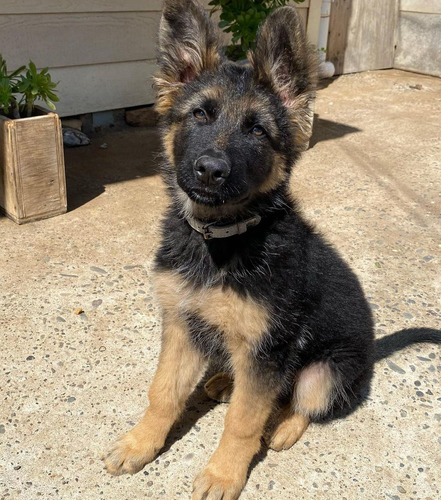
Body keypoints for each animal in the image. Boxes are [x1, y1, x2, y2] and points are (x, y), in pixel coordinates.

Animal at [104, 1, 374, 498]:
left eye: (257, 131)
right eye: (199, 115)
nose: (210, 170)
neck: (221, 238)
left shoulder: (269, 349)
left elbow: (244, 421)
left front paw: (223, 473)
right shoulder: (183, 322)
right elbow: (163, 392)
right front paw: (140, 443)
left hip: (325, 371)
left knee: (303, 401)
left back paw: (282, 426)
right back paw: (225, 380)